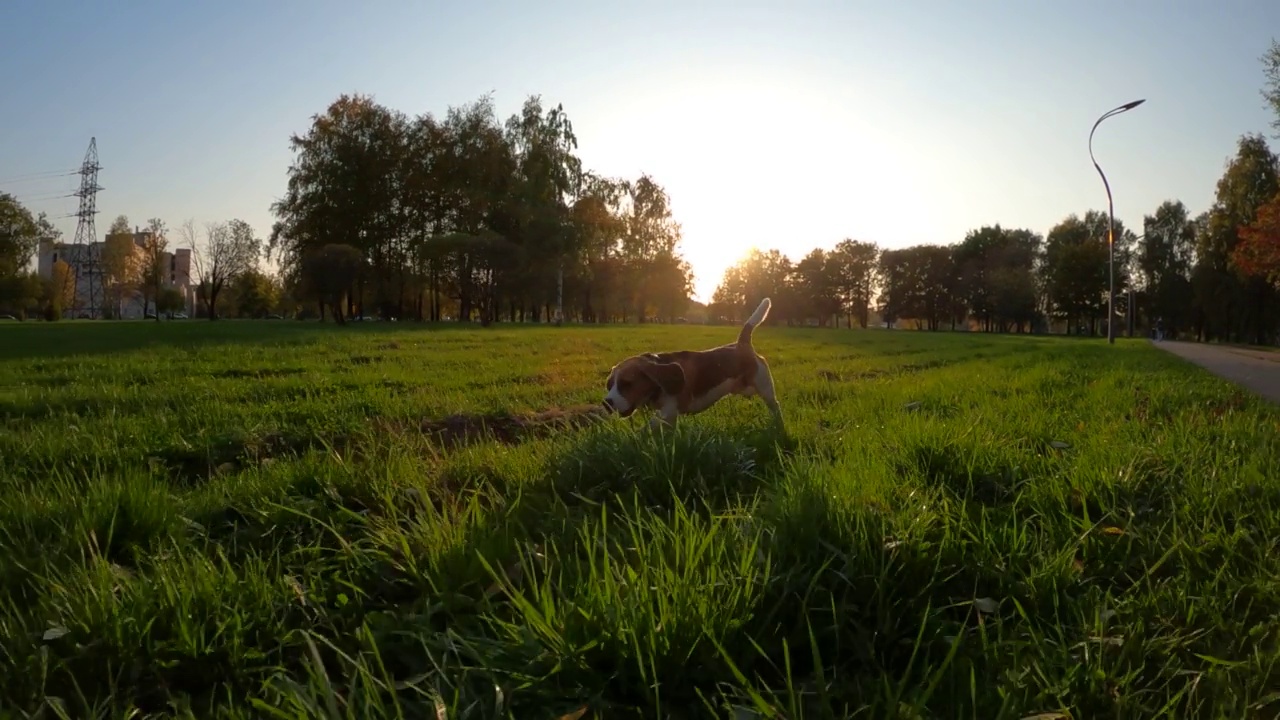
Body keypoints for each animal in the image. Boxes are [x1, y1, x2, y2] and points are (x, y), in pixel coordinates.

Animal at [601, 295, 778, 425]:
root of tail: (742, 343)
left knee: (775, 407)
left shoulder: (670, 412)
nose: (606, 403)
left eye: (626, 384)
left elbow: (653, 424)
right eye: (609, 385)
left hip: (765, 387)